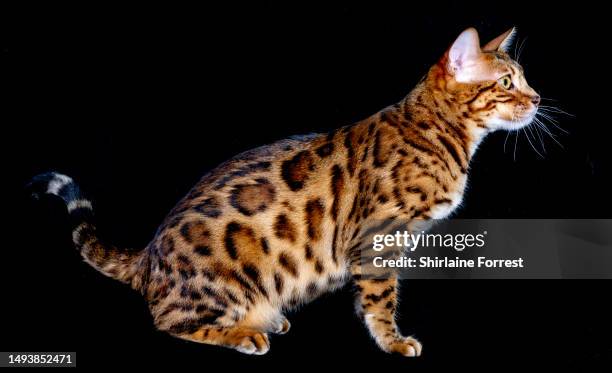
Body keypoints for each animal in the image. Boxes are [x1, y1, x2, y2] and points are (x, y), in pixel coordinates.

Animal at [31, 27, 540, 356]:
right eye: (506, 83)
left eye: (523, 79)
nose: (537, 99)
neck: (440, 132)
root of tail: (148, 257)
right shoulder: (378, 238)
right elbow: (380, 299)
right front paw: (393, 342)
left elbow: (367, 299)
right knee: (168, 320)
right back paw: (243, 334)